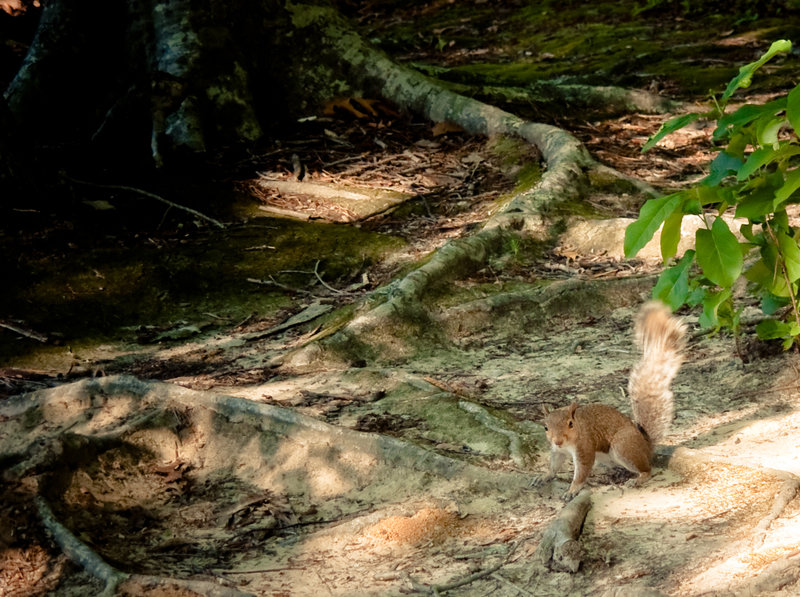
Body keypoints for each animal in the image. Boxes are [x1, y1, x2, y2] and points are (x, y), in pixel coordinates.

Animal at [532, 300, 688, 500]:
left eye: (570, 424)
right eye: (545, 427)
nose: (558, 440)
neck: (570, 441)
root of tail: (646, 445)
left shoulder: (584, 448)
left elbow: (582, 471)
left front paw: (572, 490)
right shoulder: (557, 452)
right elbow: (554, 466)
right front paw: (544, 476)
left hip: (622, 447)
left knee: (647, 469)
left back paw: (638, 478)